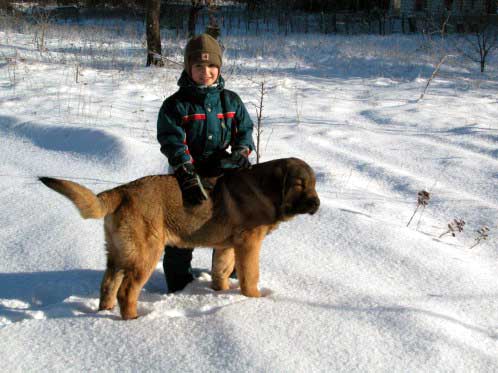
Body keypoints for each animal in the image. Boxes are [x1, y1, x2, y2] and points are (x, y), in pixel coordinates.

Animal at [39, 158, 320, 320]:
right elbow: (250, 276)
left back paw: (105, 312)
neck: (266, 191)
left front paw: (221, 294)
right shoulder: (249, 244)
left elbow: (221, 271)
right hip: (146, 253)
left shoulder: (227, 247)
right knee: (126, 291)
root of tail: (122, 191)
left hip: (119, 253)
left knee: (108, 285)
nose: (317, 203)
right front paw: (254, 300)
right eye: (299, 184)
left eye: (314, 184)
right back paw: (133, 321)